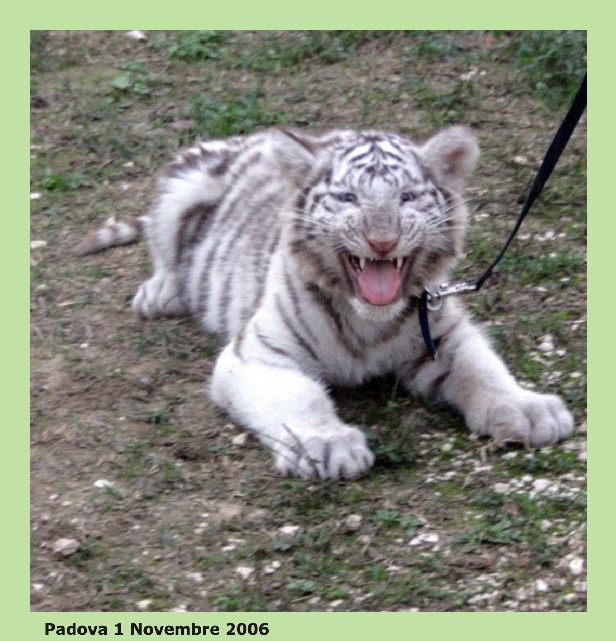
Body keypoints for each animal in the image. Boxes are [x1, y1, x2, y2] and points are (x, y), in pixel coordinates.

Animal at [78, 125, 574, 480]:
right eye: (347, 198)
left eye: (407, 198)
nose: (382, 240)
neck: (368, 319)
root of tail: (248, 137)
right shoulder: (258, 355)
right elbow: (300, 399)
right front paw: (327, 444)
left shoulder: (444, 337)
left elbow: (485, 370)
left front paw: (529, 409)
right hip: (182, 185)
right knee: (163, 250)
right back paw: (160, 293)